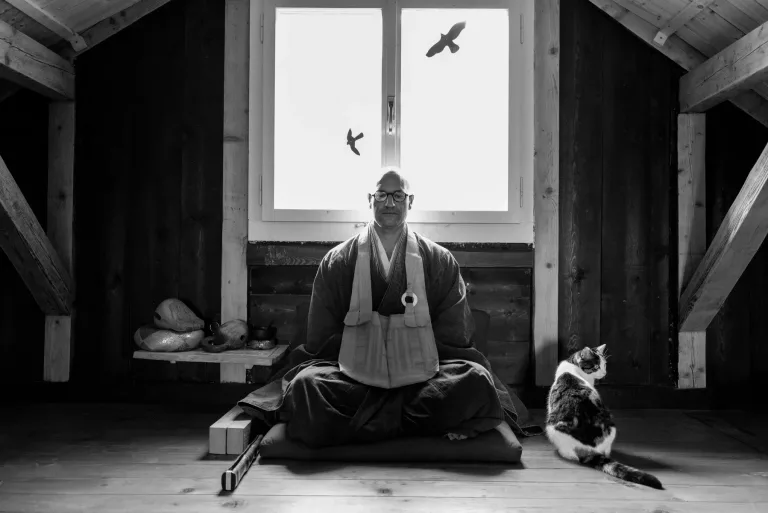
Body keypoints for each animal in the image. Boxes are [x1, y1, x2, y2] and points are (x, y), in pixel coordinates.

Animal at [544, 344, 664, 488]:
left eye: (604, 365)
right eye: (596, 366)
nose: (604, 373)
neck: (573, 365)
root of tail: (590, 449)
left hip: (552, 427)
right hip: (610, 425)